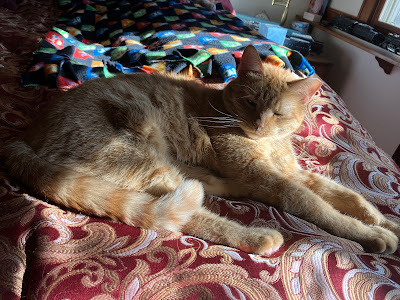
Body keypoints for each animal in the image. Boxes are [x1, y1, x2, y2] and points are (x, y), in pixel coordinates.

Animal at [3, 45, 400, 254]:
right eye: (250, 102)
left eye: (278, 113)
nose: (258, 125)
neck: (269, 144)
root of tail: (23, 137)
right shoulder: (276, 181)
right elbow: (322, 209)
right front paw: (373, 234)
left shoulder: (293, 173)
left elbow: (349, 196)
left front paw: (383, 220)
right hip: (140, 156)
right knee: (187, 215)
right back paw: (259, 237)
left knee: (198, 187)